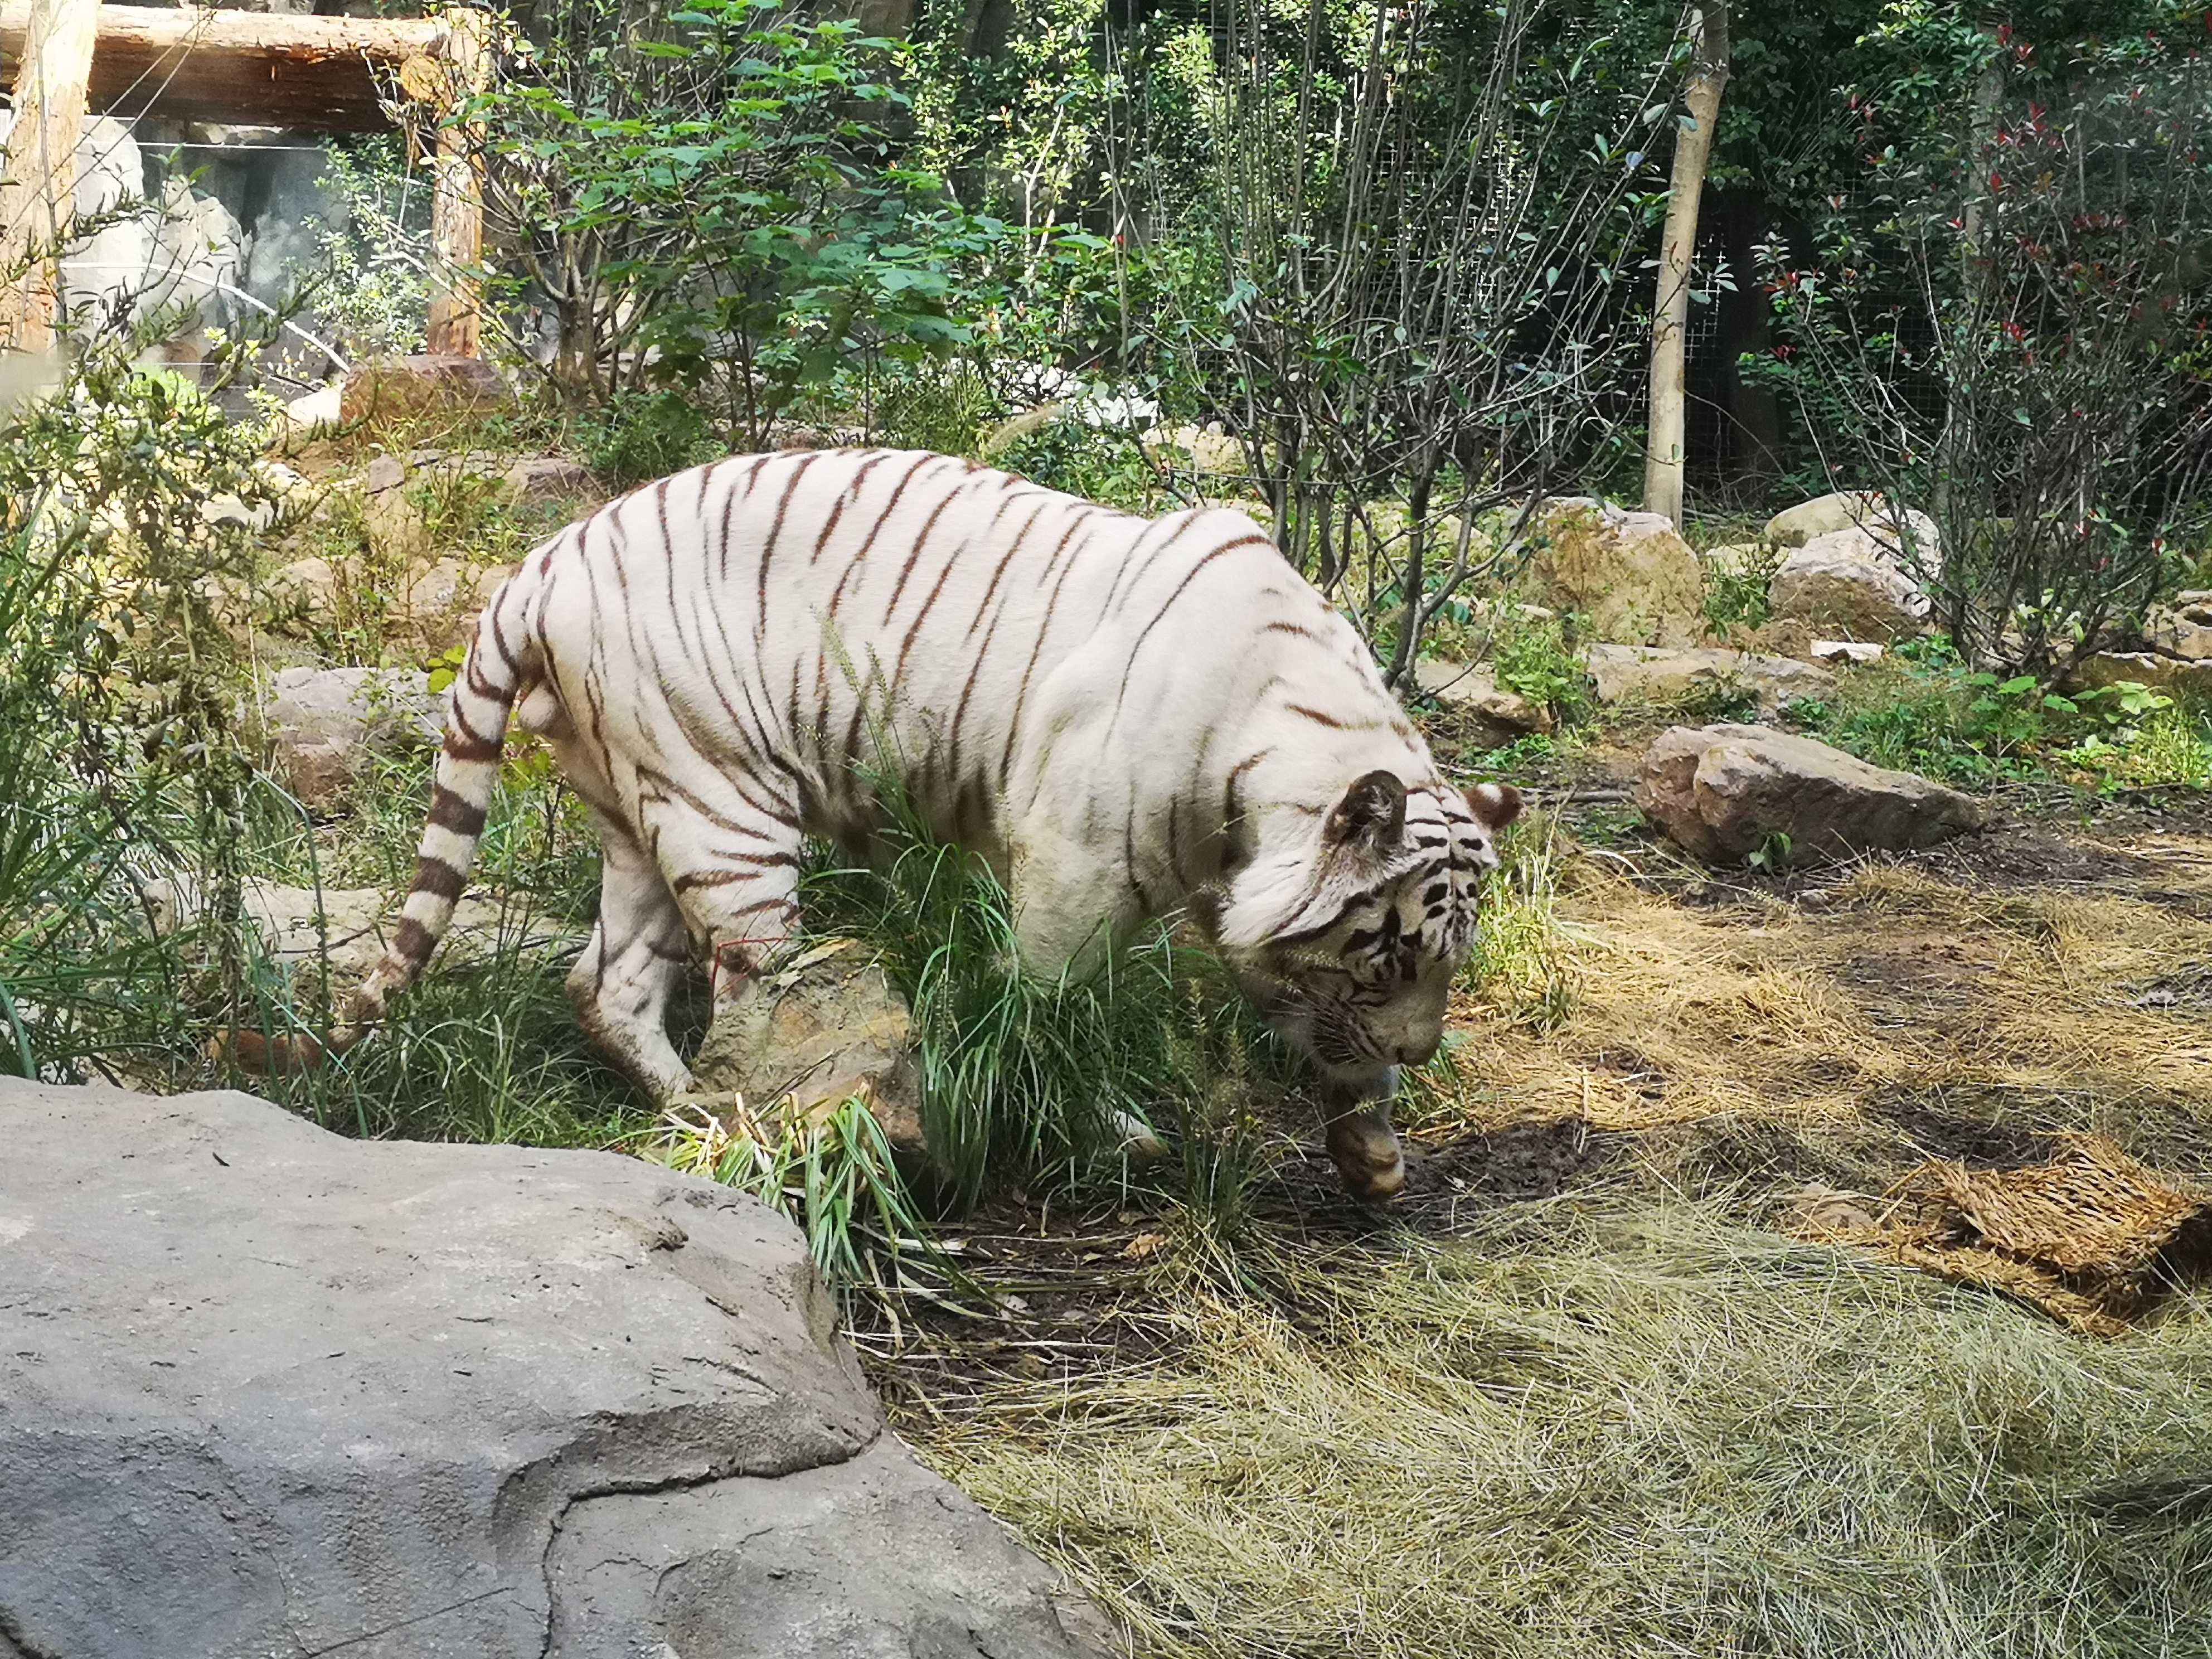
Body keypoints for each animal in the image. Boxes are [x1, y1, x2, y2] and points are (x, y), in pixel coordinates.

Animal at [341, 455, 1521, 1203]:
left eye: (1443, 962)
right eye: (1388, 957)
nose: (1423, 1049)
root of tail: (543, 562)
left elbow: (1317, 1033)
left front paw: (1372, 1151)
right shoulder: (1071, 873)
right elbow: (1054, 1017)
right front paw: (1111, 1134)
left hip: (638, 801)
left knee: (608, 981)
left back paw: (683, 1110)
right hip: (725, 805)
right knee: (746, 989)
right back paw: (775, 1123)